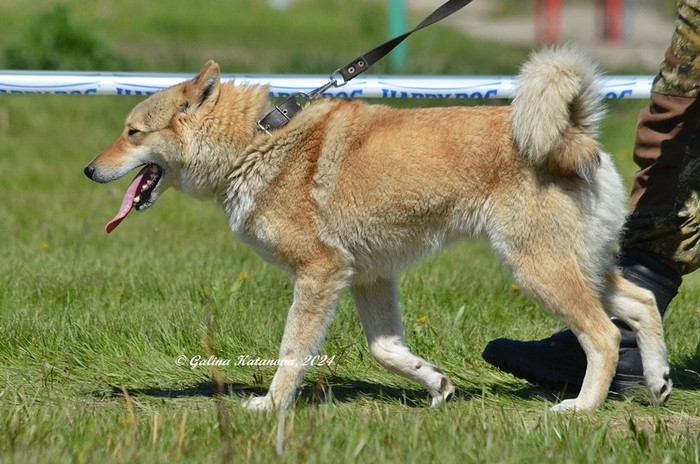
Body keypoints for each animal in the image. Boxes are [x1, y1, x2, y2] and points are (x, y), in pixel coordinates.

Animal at [84, 46, 672, 411]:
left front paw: (271, 405)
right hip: (584, 267)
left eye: (132, 132)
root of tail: (575, 132)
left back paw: (580, 408)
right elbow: (386, 351)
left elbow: (292, 353)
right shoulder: (368, 278)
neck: (256, 141)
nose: (89, 169)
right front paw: (436, 385)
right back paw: (658, 381)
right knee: (642, 301)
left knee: (602, 335)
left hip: (537, 270)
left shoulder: (319, 275)